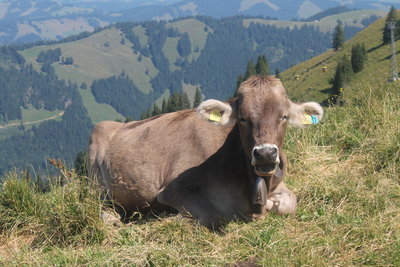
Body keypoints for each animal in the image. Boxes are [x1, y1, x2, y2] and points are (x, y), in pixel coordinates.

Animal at [87, 75, 322, 228]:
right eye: (243, 118)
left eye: (283, 117)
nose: (265, 154)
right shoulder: (173, 190)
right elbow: (212, 215)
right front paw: (168, 217)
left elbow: (290, 202)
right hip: (97, 182)